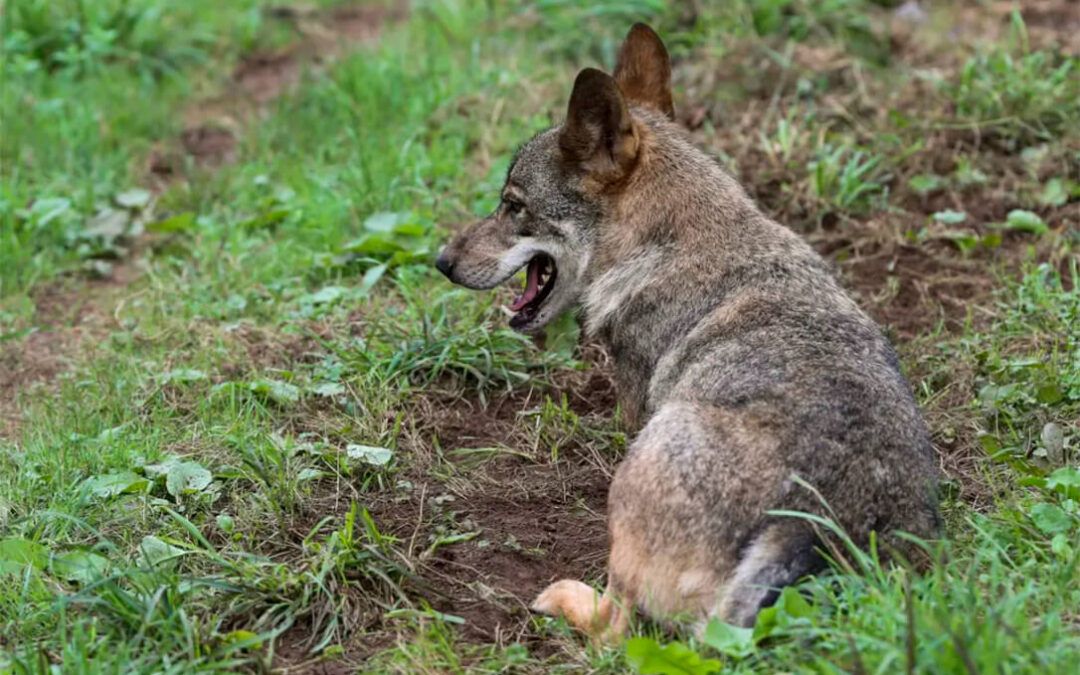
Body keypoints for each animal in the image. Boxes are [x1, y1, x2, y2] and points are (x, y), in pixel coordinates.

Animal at [434, 24, 941, 635]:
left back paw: (561, 598)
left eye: (512, 206)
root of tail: (810, 521)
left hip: (637, 473)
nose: (440, 261)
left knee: (616, 626)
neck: (669, 243)